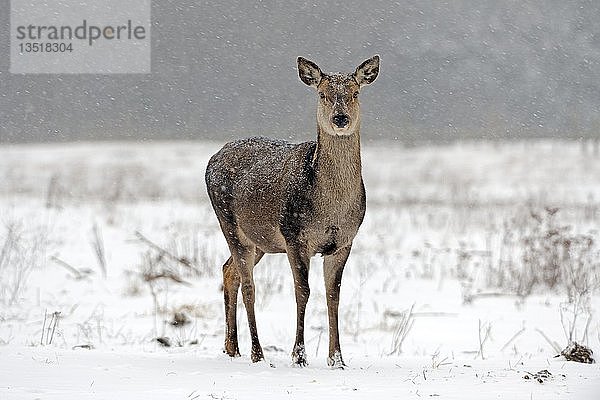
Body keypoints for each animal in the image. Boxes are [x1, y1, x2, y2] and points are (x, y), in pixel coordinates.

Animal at [206, 54, 380, 368]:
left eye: (355, 92)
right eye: (322, 94)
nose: (340, 119)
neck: (331, 210)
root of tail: (211, 159)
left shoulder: (344, 241)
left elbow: (333, 295)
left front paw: (337, 359)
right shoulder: (294, 236)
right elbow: (303, 291)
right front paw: (299, 355)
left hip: (259, 240)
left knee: (228, 270)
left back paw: (231, 348)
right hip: (228, 221)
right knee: (249, 285)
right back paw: (256, 352)